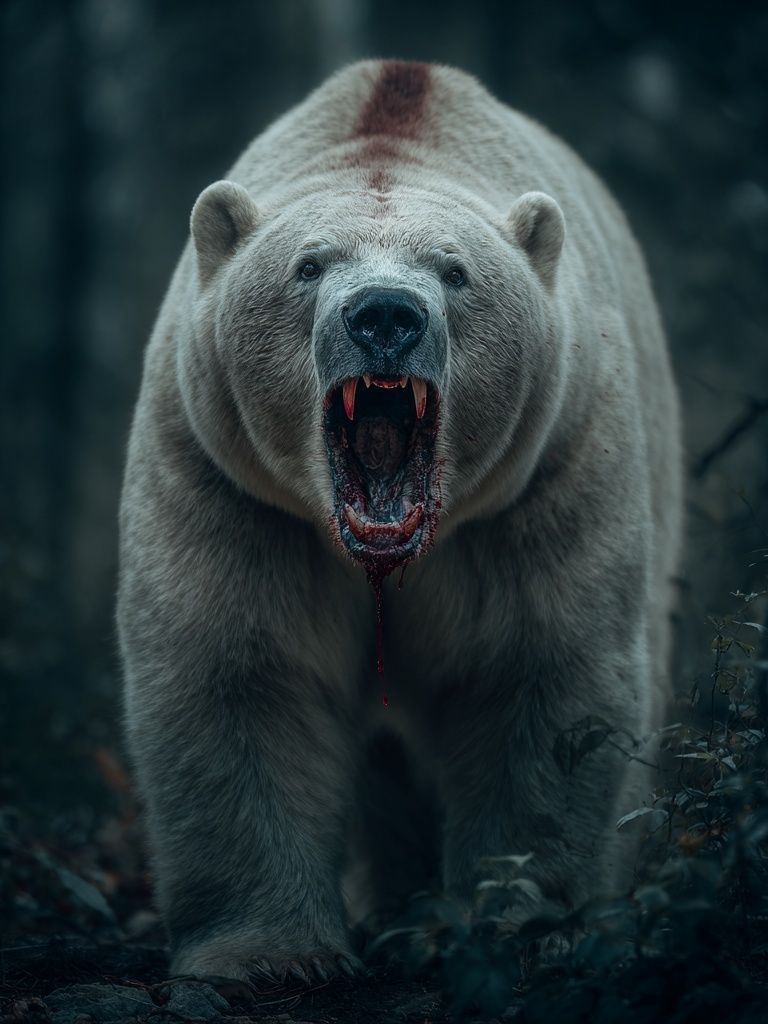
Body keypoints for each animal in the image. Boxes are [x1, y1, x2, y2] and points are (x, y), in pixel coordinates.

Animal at [118, 59, 682, 984]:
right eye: (309, 265)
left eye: (454, 271)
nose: (384, 314)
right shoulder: (229, 480)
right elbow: (240, 671)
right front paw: (269, 953)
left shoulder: (547, 472)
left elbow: (542, 670)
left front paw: (521, 922)